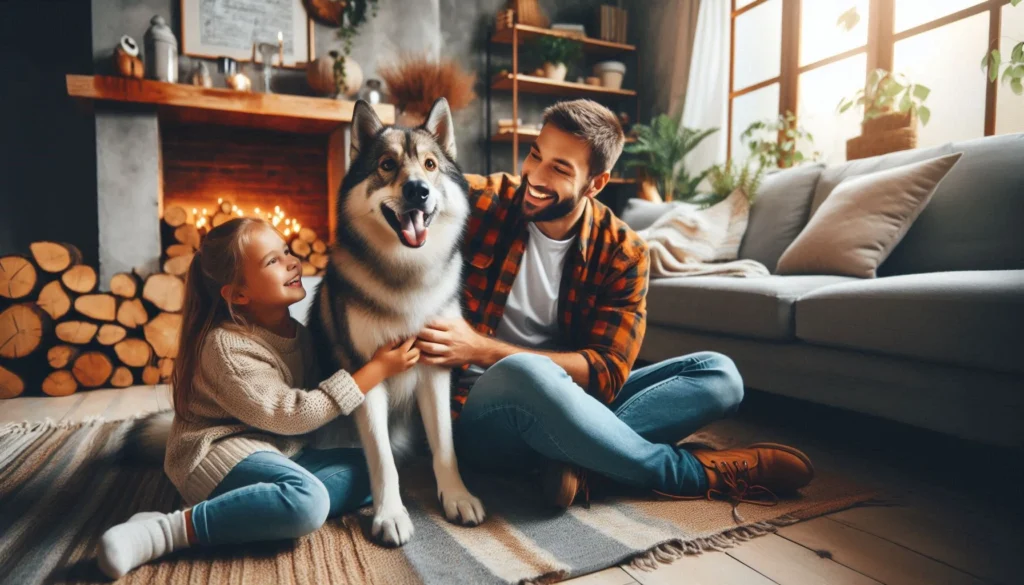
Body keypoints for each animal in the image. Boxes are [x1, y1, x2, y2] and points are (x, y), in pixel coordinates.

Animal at [305, 98, 485, 549]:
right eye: (387, 165)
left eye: (430, 165)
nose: (417, 189)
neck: (407, 275)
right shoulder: (365, 375)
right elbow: (382, 458)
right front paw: (390, 515)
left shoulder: (435, 368)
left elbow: (445, 445)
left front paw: (456, 496)